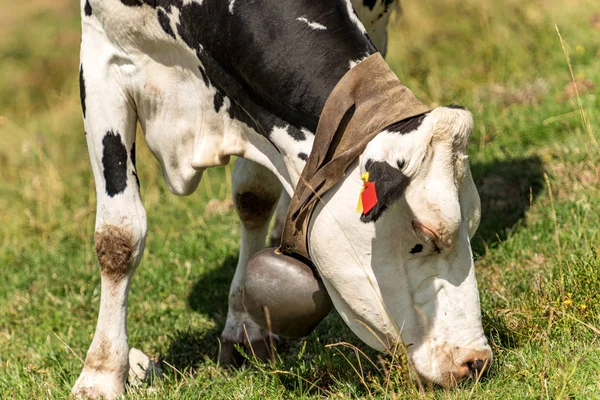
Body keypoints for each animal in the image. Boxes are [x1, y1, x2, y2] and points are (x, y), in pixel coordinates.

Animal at [74, 1, 492, 398]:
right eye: (423, 239)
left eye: (472, 226)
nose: (475, 361)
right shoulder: (100, 60)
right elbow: (118, 237)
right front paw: (100, 375)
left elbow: (255, 197)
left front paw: (246, 328)